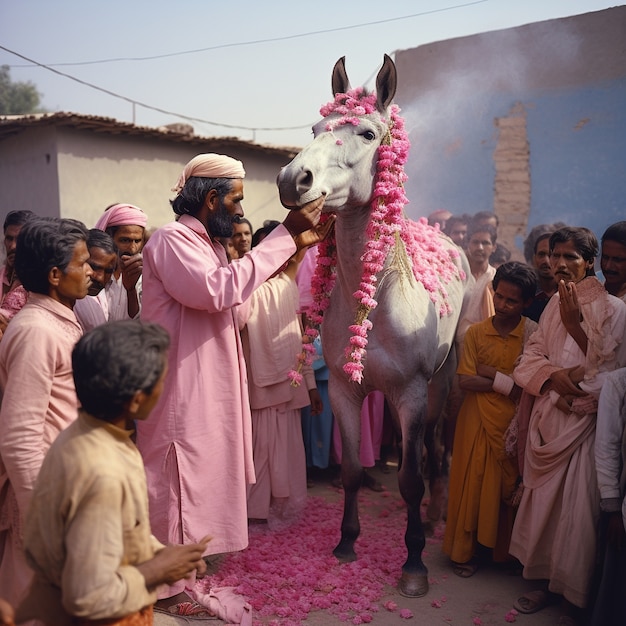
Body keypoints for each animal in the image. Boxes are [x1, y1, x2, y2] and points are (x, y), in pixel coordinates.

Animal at [278, 54, 468, 596]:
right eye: (315, 129)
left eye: (365, 132)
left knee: (433, 447)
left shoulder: (412, 393)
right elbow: (348, 470)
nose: (293, 179)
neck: (377, 296)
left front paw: (414, 564)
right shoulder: (344, 389)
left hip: (443, 380)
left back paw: (432, 516)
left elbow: (410, 479)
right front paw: (346, 543)